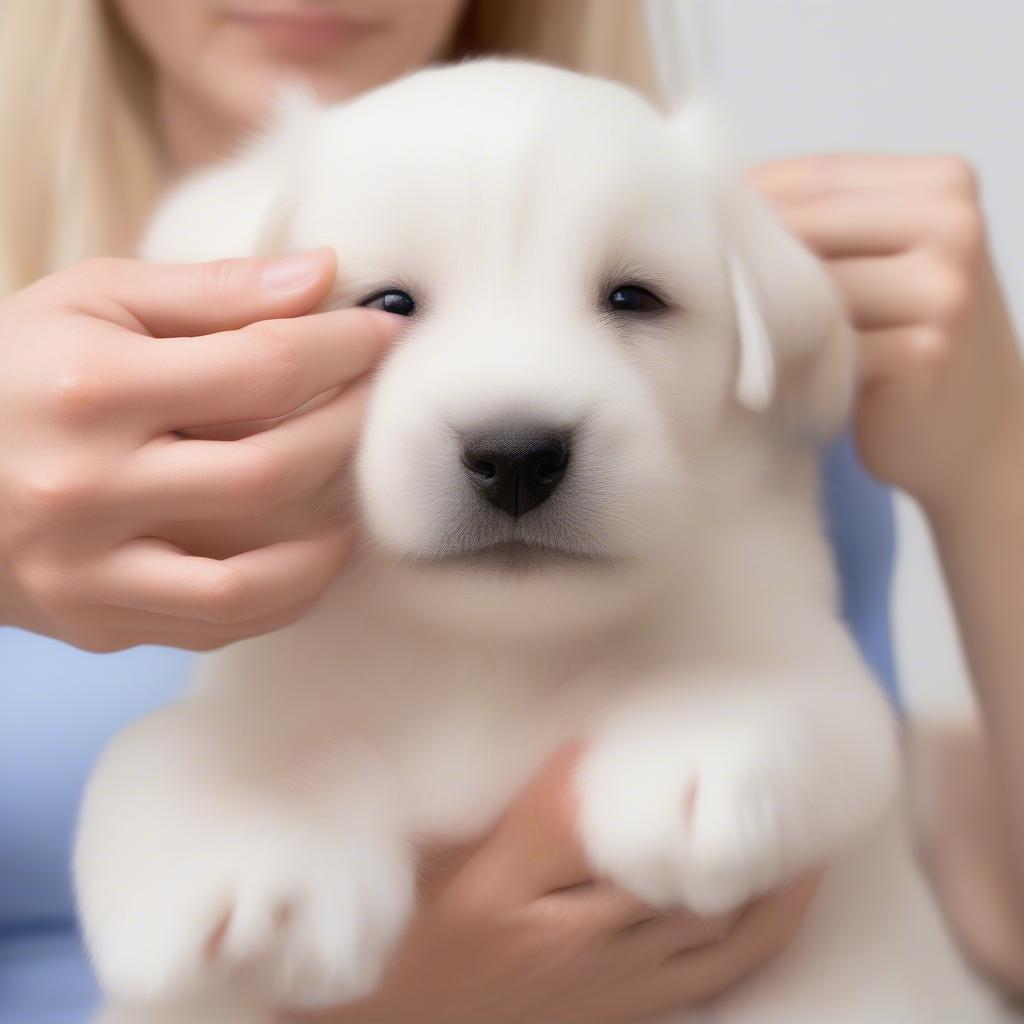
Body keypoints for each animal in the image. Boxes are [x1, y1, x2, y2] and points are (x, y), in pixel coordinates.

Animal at [74, 59, 999, 1019]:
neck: (491, 651)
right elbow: (194, 743)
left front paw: (696, 750)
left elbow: (769, 672)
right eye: (389, 304)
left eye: (633, 298)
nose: (515, 454)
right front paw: (267, 862)